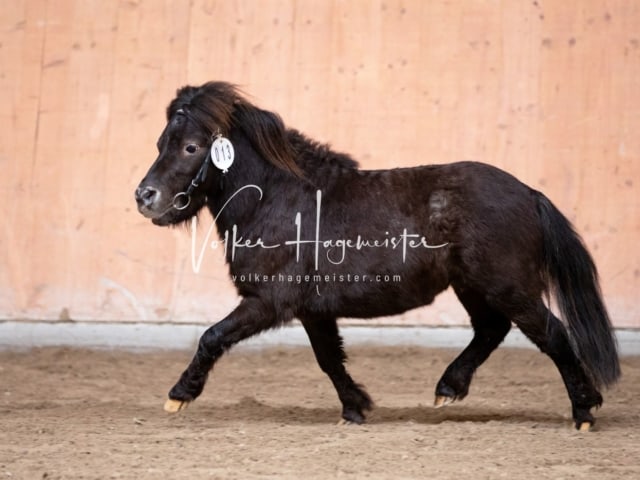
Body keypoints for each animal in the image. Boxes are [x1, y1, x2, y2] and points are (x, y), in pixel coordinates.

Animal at [135, 80, 620, 430]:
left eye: (191, 147)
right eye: (160, 142)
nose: (145, 197)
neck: (278, 200)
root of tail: (528, 193)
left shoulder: (267, 302)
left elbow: (211, 337)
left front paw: (179, 396)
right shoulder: (313, 310)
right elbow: (329, 359)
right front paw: (356, 408)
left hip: (509, 287)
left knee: (552, 335)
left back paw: (583, 411)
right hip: (475, 287)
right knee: (491, 330)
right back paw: (449, 388)